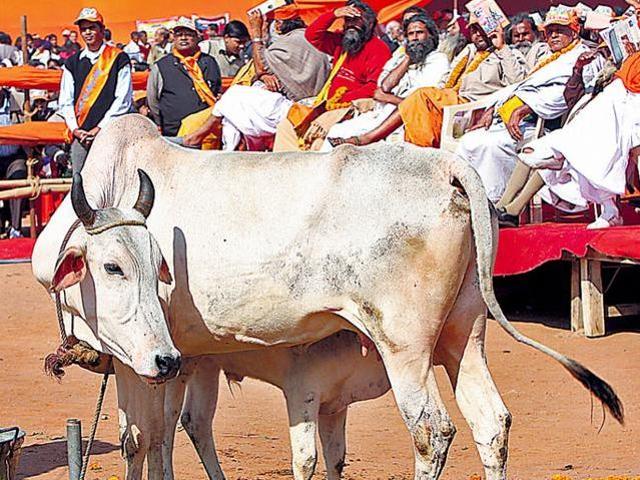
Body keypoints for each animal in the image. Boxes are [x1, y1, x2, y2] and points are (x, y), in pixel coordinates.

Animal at [31, 114, 622, 480]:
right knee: (491, 423)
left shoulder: (139, 359)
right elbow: (162, 439)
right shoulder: (178, 359)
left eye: (137, 265)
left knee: (432, 431)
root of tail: (446, 165)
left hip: (405, 346)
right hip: (463, 335)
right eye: (113, 266)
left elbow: (139, 439)